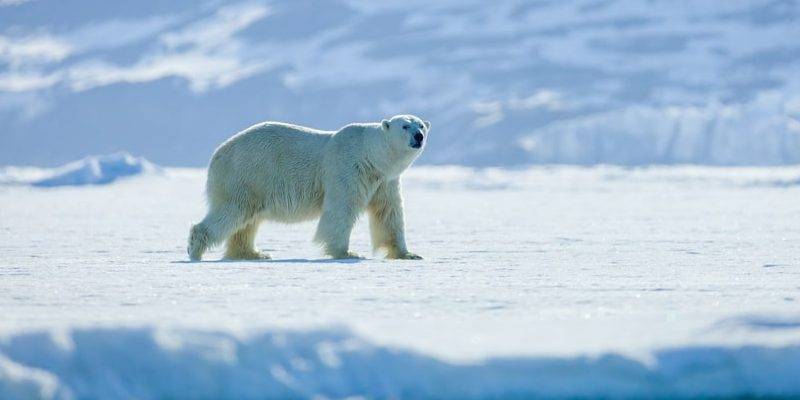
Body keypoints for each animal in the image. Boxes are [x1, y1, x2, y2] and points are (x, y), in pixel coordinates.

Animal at [188, 114, 428, 260]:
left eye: (421, 124)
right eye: (405, 125)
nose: (419, 136)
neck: (371, 156)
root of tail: (218, 153)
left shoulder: (384, 181)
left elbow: (389, 214)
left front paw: (408, 254)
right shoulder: (347, 169)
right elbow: (341, 209)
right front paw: (346, 253)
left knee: (247, 221)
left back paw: (252, 253)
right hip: (245, 175)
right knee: (232, 212)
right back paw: (195, 249)